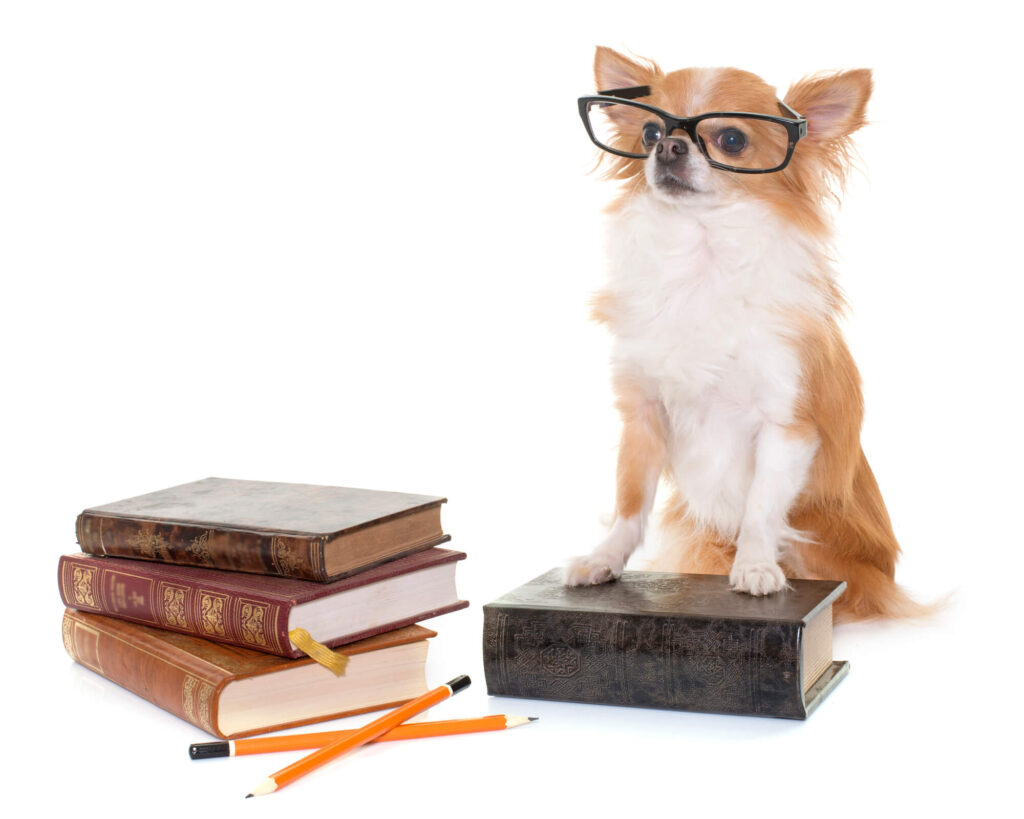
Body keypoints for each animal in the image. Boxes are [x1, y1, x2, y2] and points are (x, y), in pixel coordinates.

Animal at [565, 44, 925, 622]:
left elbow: (761, 504)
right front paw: (604, 559)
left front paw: (755, 566)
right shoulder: (643, 415)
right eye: (648, 131)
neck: (702, 257)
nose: (667, 145)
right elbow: (629, 499)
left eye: (731, 140)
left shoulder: (786, 424)